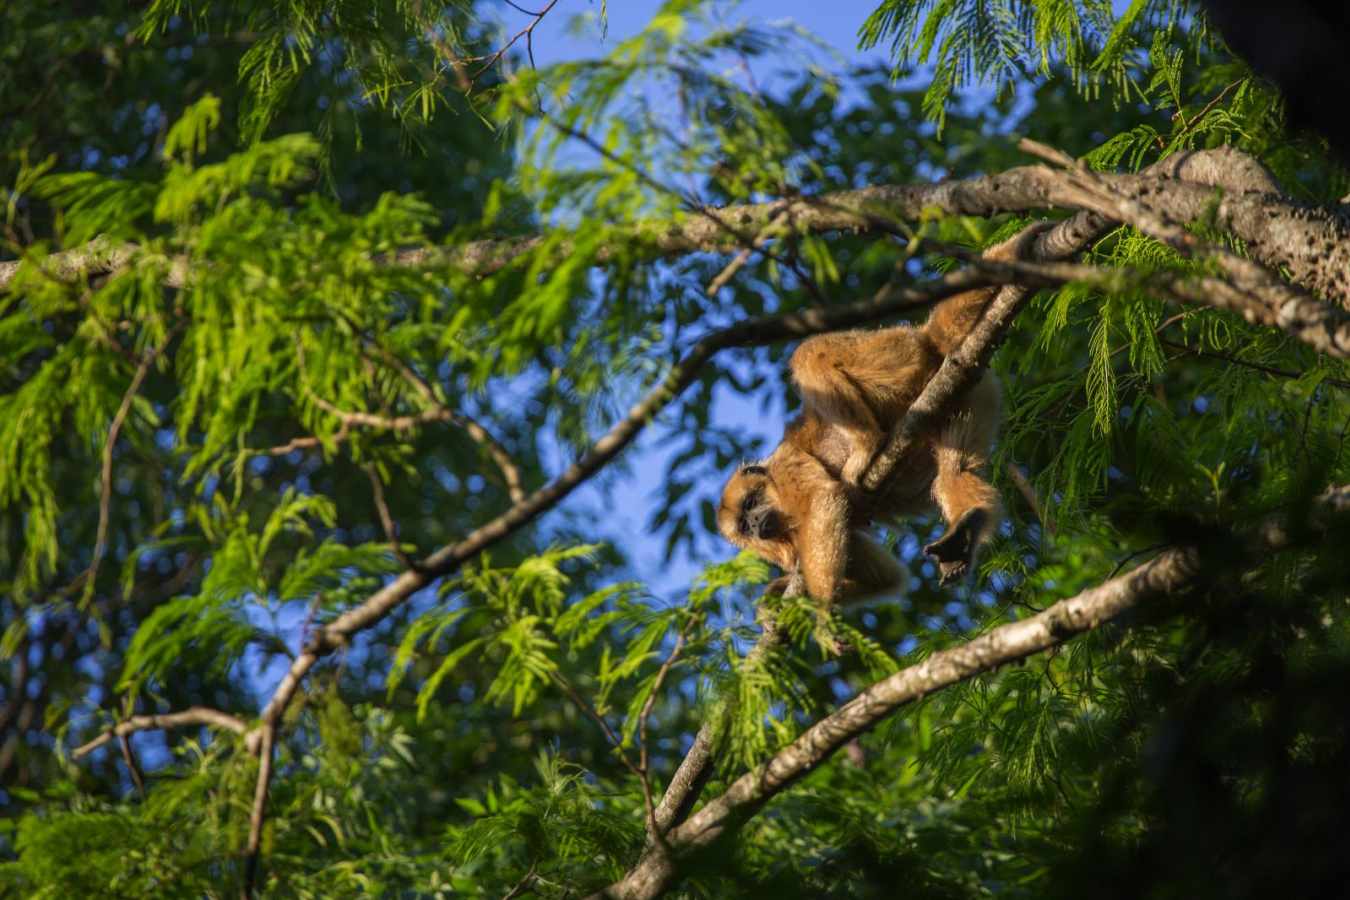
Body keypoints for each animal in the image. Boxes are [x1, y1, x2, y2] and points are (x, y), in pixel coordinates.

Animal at [717, 225, 1045, 608]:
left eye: (751, 503)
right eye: (744, 527)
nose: (755, 525)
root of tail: (929, 343)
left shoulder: (789, 469)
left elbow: (822, 501)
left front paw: (821, 608)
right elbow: (887, 578)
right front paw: (783, 594)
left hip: (891, 356)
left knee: (809, 352)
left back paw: (866, 447)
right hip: (971, 394)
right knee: (954, 470)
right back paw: (967, 525)